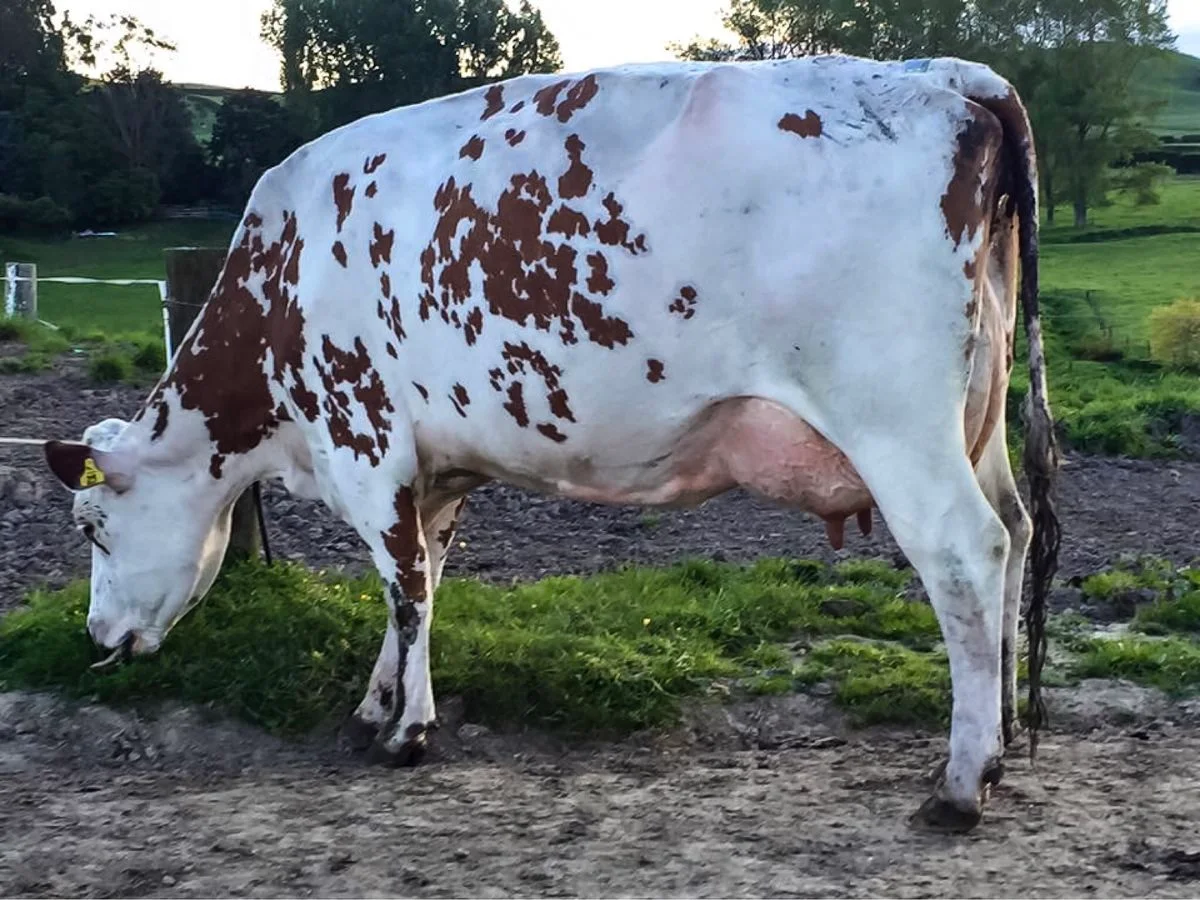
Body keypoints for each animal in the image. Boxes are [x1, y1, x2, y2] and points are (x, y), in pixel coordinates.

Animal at [39, 54, 1059, 833]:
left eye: (91, 525)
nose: (95, 638)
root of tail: (946, 73)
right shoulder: (435, 474)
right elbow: (418, 587)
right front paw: (376, 705)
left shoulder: (365, 442)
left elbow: (404, 589)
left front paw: (407, 733)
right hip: (977, 417)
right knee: (1017, 531)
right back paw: (1005, 736)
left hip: (895, 421)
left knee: (968, 553)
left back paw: (961, 781)